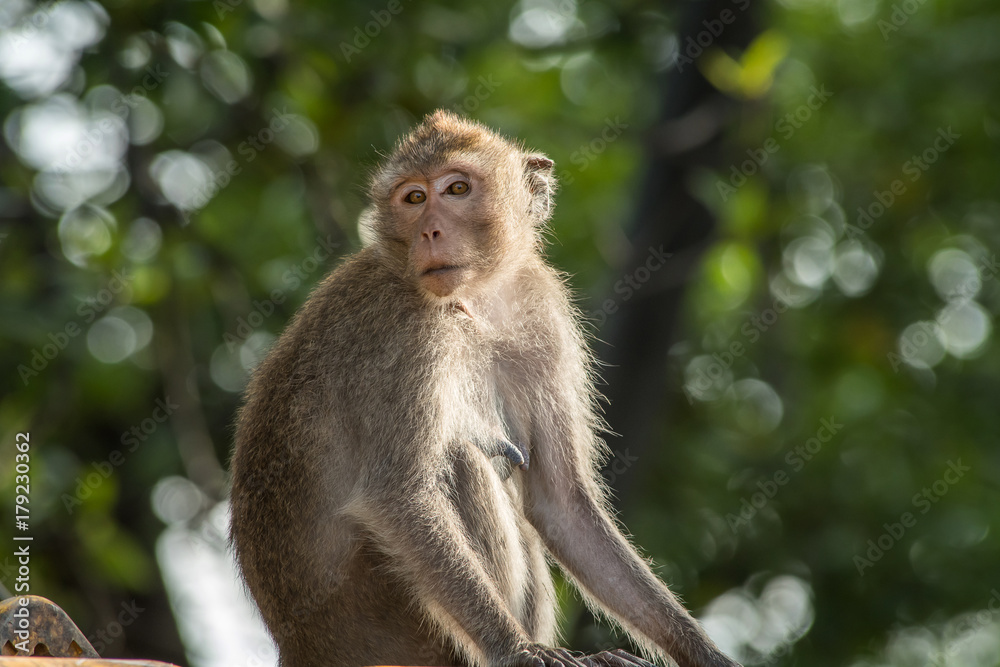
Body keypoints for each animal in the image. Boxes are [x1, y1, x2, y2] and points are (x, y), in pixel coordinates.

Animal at [229, 109, 744, 667]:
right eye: (413, 198)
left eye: (456, 189)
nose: (430, 231)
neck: (474, 300)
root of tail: (299, 647)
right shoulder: (403, 335)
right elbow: (398, 492)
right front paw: (518, 651)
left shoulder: (542, 311)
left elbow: (560, 501)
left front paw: (702, 652)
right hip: (381, 622)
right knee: (460, 462)